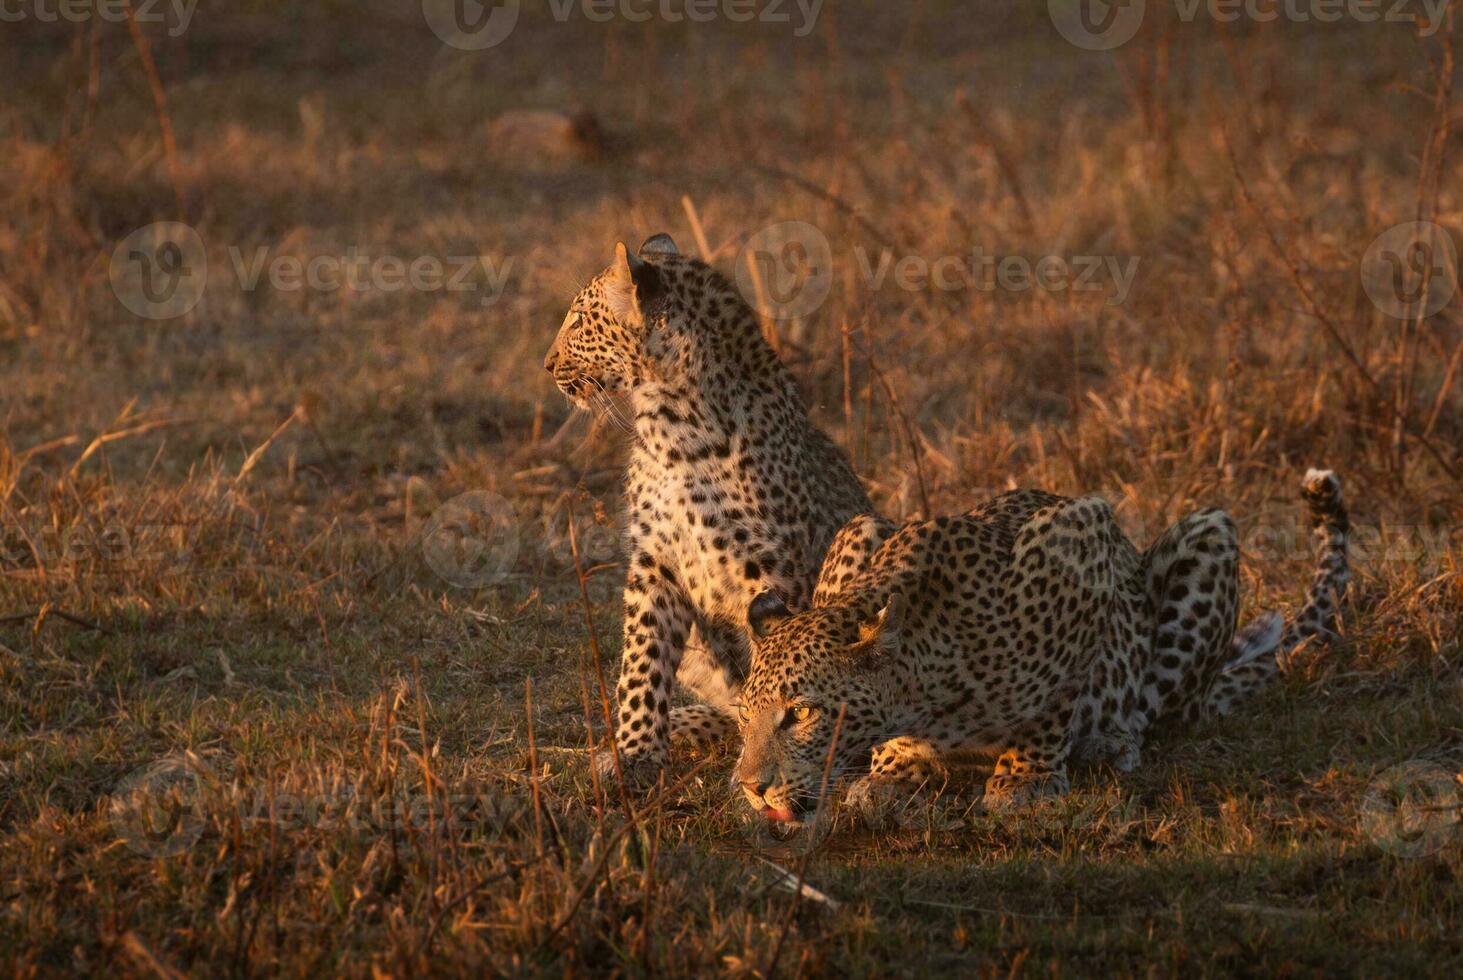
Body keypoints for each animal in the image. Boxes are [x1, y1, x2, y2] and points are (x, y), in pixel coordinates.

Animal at [547, 234, 866, 789]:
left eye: (579, 320)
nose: (546, 364)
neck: (671, 428)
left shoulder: (775, 572)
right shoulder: (654, 563)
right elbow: (641, 663)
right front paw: (635, 754)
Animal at [731, 468, 1345, 819]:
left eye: (800, 714)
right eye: (744, 717)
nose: (751, 789)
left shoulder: (1079, 530)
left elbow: (1056, 692)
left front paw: (1024, 780)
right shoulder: (856, 538)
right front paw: (892, 769)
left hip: (1210, 535)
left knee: (1157, 707)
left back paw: (1109, 742)